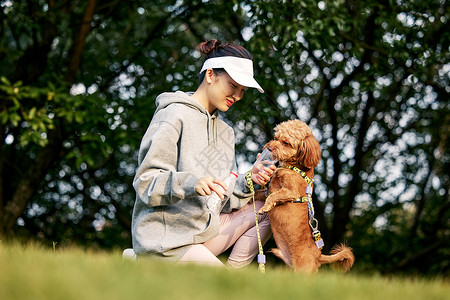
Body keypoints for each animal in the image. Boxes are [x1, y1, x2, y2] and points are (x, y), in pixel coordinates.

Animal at [255, 119, 354, 272]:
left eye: (285, 143)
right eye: (275, 137)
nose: (269, 147)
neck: (294, 167)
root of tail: (319, 256)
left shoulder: (291, 191)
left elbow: (273, 196)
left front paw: (264, 208)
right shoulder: (268, 191)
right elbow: (261, 193)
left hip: (303, 269)